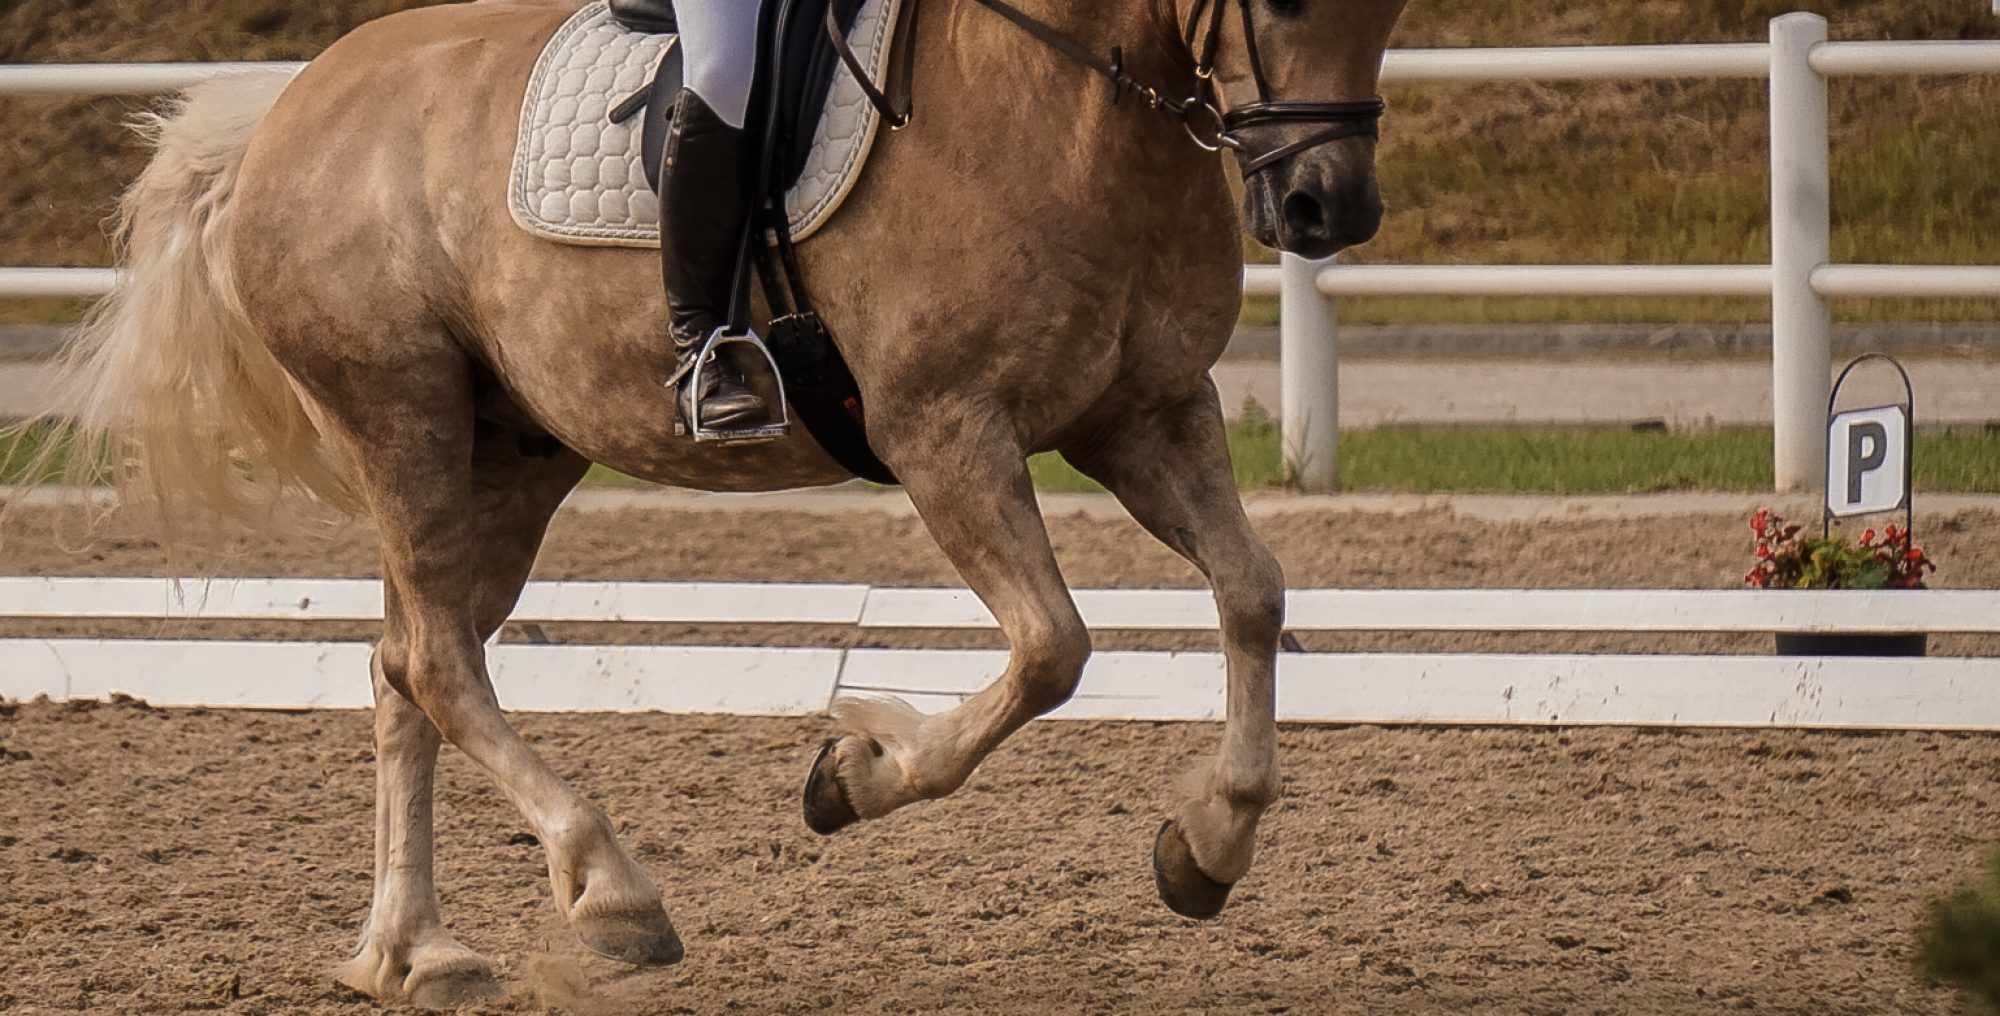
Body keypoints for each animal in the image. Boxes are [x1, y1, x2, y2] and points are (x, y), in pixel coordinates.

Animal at [58, 0, 1408, 1004]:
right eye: (1283, 0)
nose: (1323, 209)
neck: (1066, 104)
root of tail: (288, 104)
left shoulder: (1146, 413)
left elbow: (1251, 594)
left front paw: (1210, 842)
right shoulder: (946, 432)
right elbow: (1052, 649)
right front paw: (852, 771)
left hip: (512, 451)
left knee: (407, 662)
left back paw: (415, 952)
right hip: (402, 416)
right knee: (435, 660)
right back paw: (611, 890)